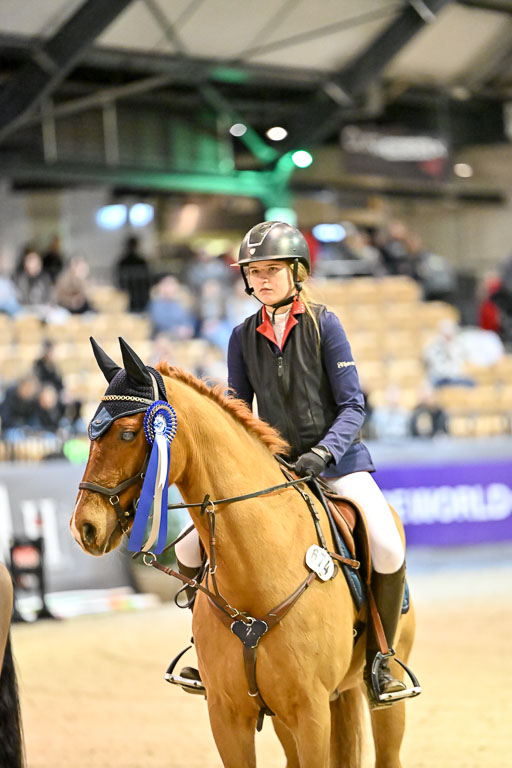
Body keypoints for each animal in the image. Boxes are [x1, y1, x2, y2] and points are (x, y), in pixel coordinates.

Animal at [70, 338, 417, 768]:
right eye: (90, 432)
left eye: (129, 433)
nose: (84, 527)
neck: (256, 573)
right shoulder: (227, 715)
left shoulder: (312, 714)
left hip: (382, 695)